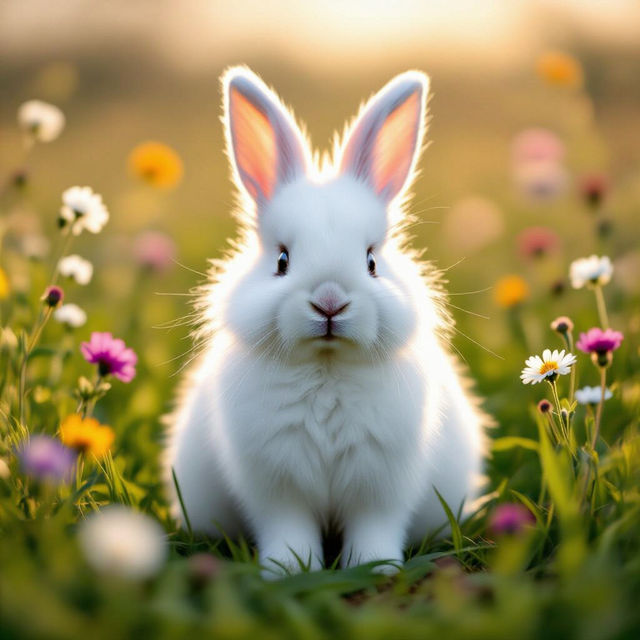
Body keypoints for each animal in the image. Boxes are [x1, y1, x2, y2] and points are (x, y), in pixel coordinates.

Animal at [164, 66, 489, 578]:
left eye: (372, 261)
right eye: (281, 260)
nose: (330, 302)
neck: (327, 368)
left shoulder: (381, 485)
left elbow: (375, 526)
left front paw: (375, 568)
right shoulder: (276, 486)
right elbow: (288, 529)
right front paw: (290, 570)